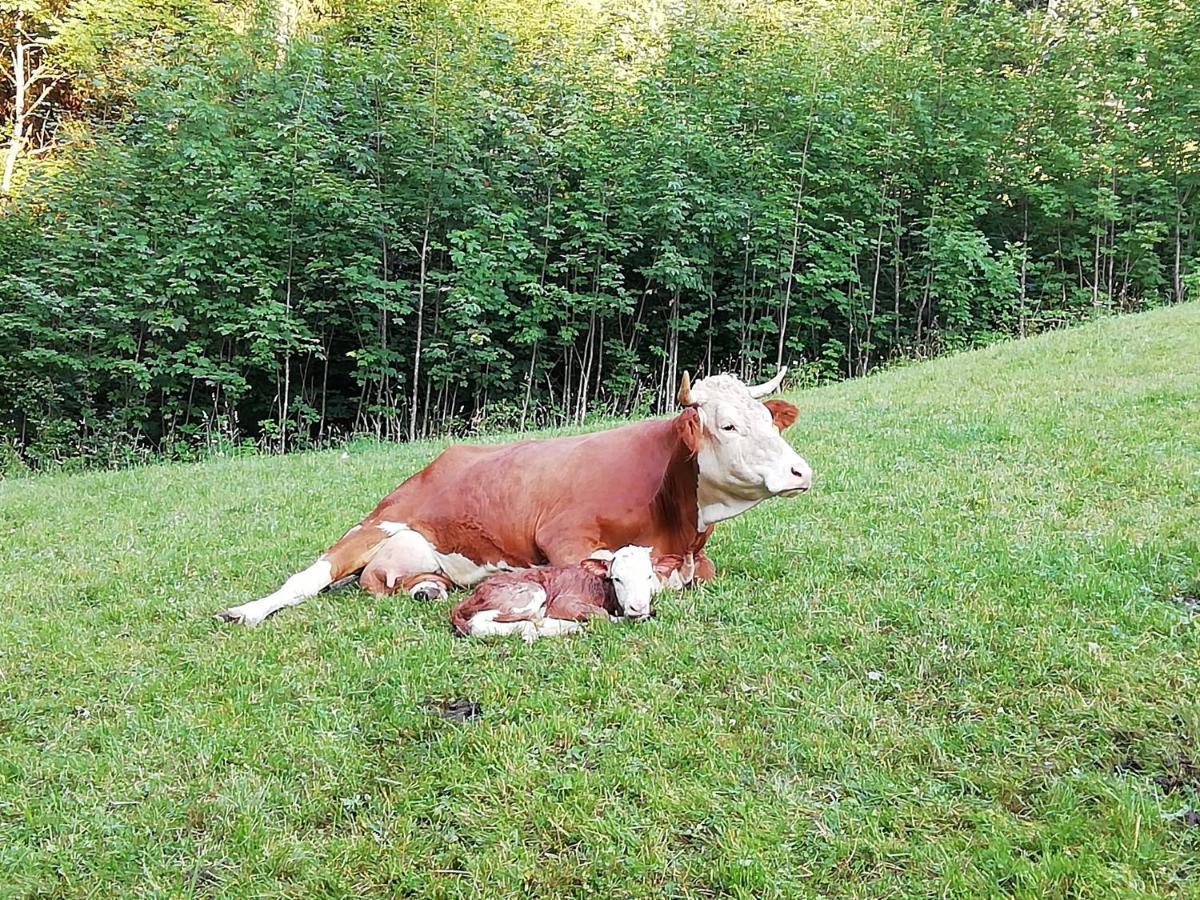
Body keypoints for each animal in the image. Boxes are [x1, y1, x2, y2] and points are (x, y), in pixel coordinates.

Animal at [219, 367, 811, 628]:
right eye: (728, 425)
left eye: (768, 421)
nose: (800, 471)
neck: (681, 522)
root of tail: (438, 461)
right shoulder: (565, 539)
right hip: (375, 526)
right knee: (307, 578)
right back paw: (246, 611)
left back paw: (428, 589)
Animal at [451, 547, 696, 643]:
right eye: (617, 578)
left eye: (648, 576)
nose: (638, 608)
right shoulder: (563, 602)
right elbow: (602, 616)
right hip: (530, 592)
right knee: (480, 623)